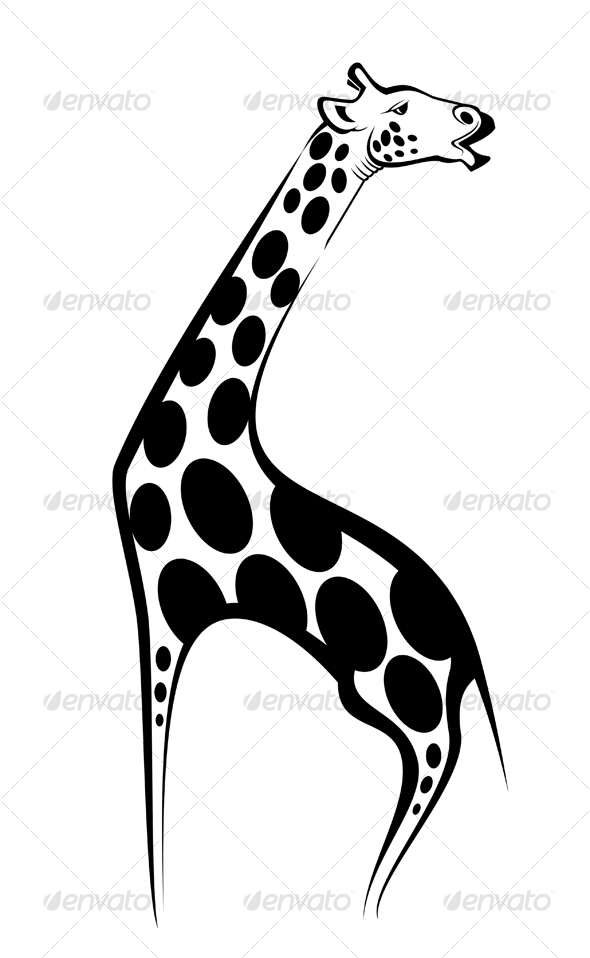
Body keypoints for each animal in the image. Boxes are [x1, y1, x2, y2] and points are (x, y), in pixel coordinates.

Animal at [113, 63, 504, 922]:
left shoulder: (167, 599)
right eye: (401, 105)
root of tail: (465, 653)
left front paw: (160, 903)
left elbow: (154, 764)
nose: (476, 118)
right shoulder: (162, 597)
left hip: (408, 710)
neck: (209, 424)